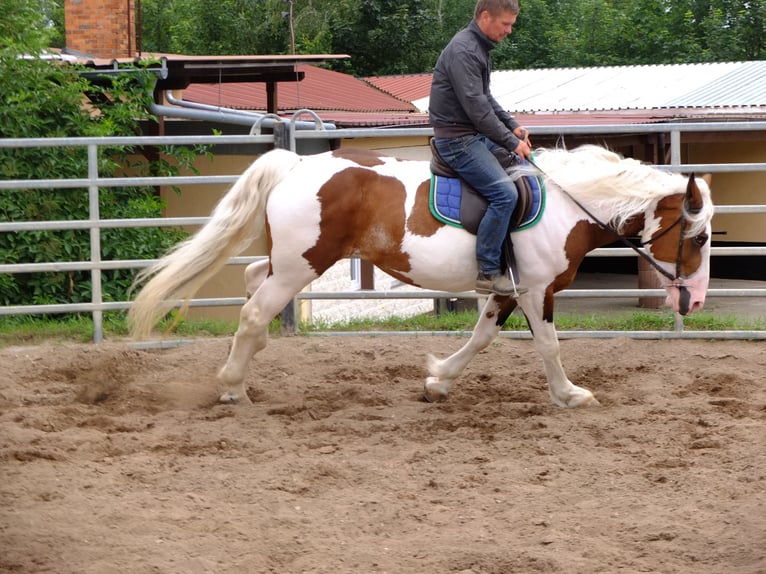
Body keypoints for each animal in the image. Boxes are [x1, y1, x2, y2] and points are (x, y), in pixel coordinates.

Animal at [127, 148, 712, 410]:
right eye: (702, 237)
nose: (695, 302)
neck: (568, 205)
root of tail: (295, 163)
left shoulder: (508, 291)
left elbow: (480, 337)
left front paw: (438, 378)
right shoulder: (535, 290)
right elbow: (548, 345)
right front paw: (569, 394)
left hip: (289, 262)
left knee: (253, 285)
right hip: (302, 264)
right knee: (252, 312)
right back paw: (231, 385)